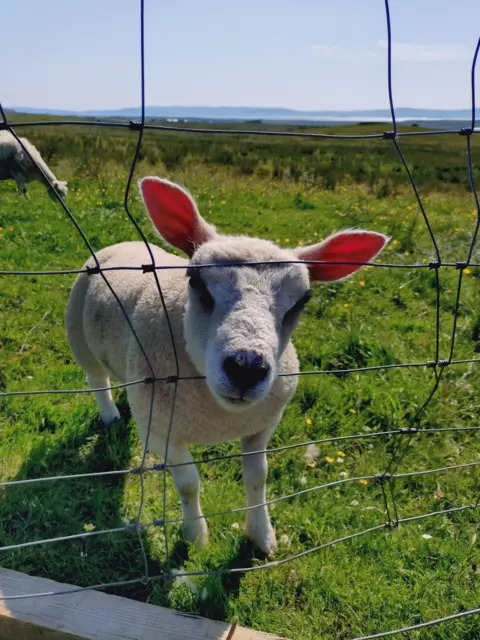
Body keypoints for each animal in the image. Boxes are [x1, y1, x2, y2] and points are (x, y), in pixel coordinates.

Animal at [65, 177, 388, 555]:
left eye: (303, 301)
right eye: (196, 282)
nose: (246, 368)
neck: (219, 418)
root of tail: (124, 242)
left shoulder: (262, 426)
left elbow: (258, 478)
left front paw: (262, 536)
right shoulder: (164, 434)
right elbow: (188, 484)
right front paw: (196, 536)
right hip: (80, 339)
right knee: (97, 379)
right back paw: (110, 414)